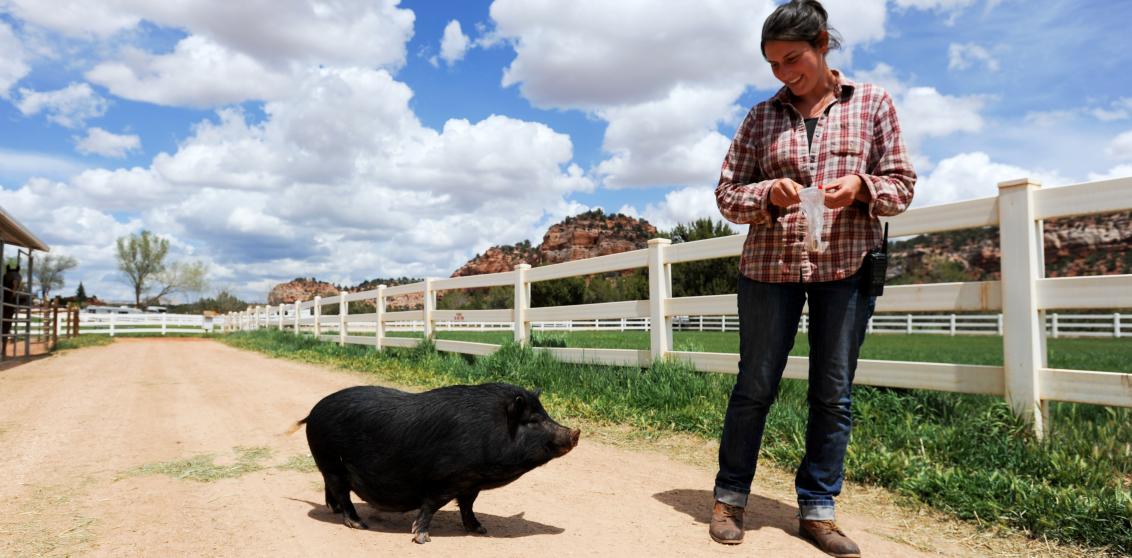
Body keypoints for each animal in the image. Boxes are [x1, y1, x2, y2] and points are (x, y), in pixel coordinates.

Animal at [291, 382, 580, 544]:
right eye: (533, 420)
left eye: (545, 414)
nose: (575, 432)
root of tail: (312, 413)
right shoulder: (444, 479)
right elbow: (431, 506)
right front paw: (422, 539)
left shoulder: (470, 482)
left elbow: (468, 506)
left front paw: (480, 529)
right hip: (331, 461)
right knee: (342, 491)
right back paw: (359, 524)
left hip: (329, 465)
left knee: (330, 488)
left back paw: (334, 511)